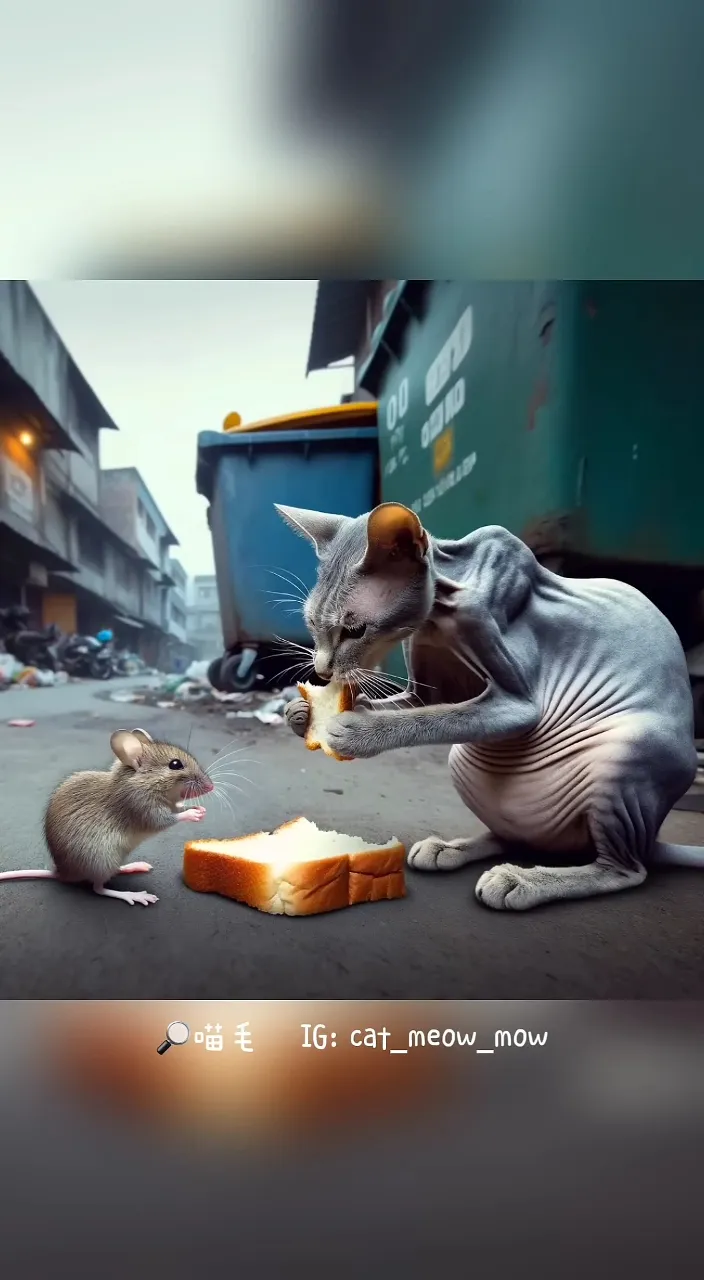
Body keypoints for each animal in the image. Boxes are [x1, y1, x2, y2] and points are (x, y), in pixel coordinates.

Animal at [276, 499, 704, 911]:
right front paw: (303, 713)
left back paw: (523, 881)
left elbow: (433, 718)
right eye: (311, 625)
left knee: (625, 869)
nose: (322, 670)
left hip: (628, 748)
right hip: (466, 764)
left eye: (355, 631)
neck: (442, 608)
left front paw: (356, 730)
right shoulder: (428, 692)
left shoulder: (518, 701)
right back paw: (451, 849)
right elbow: (419, 707)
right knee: (514, 838)